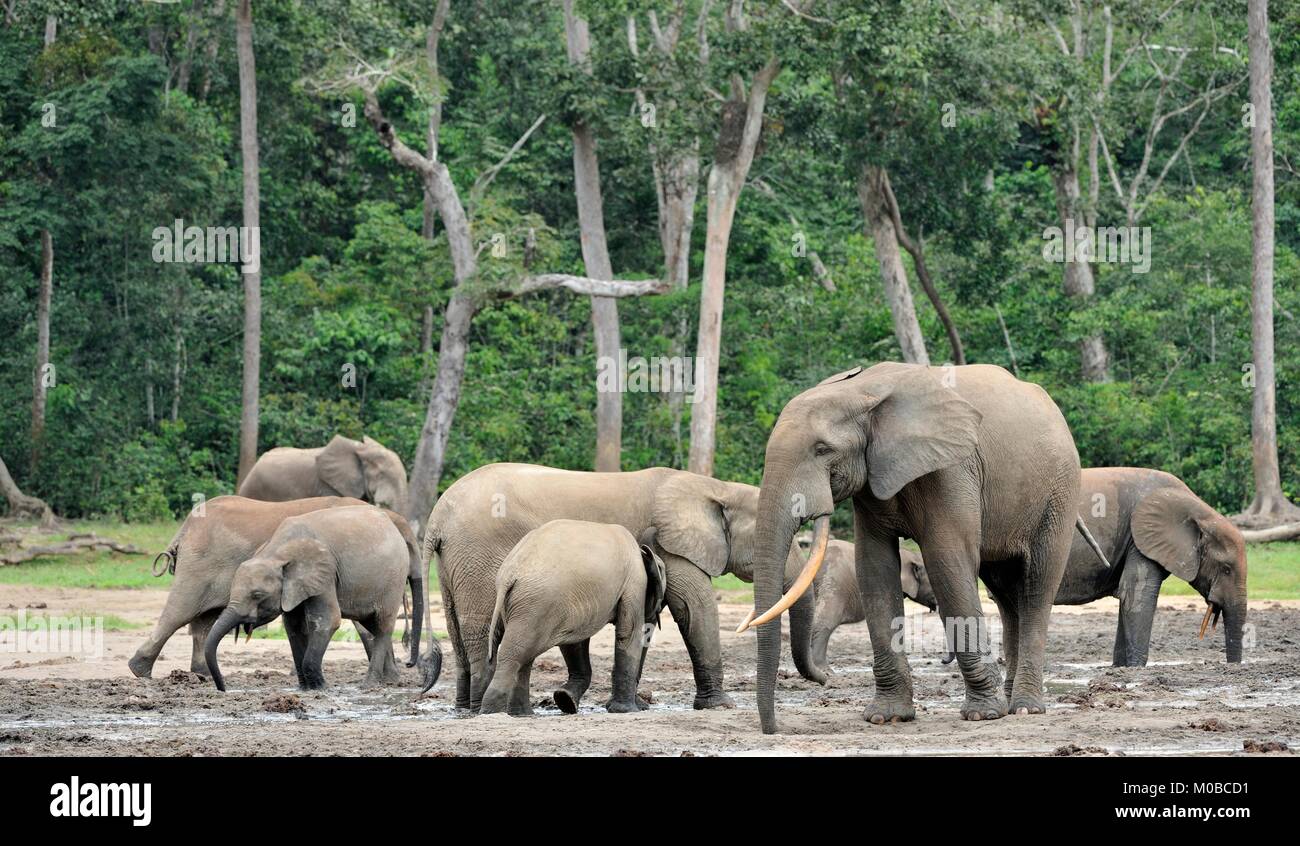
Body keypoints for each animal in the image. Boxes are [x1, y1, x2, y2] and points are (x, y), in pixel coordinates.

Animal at [204, 504, 438, 691]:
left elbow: (327, 620)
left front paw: (321, 687)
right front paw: (305, 689)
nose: (223, 688)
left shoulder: (325, 572)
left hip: (392, 580)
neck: (276, 552)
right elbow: (294, 626)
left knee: (382, 626)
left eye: (257, 595)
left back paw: (369, 684)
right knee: (373, 625)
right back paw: (390, 681)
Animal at [478, 519, 668, 716]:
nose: (644, 706)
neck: (642, 551)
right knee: (516, 653)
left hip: (528, 605)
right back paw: (493, 712)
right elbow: (629, 633)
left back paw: (522, 714)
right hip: (538, 602)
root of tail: (509, 575)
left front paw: (565, 700)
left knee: (523, 655)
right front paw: (626, 711)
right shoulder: (635, 582)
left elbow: (574, 643)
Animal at [740, 362, 1105, 733]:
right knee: (1006, 594)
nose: (773, 729)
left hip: (1059, 493)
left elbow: (947, 560)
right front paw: (886, 717)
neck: (862, 389)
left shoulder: (952, 468)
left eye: (821, 449)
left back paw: (1025, 709)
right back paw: (1012, 700)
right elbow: (874, 566)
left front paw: (983, 714)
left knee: (1036, 587)